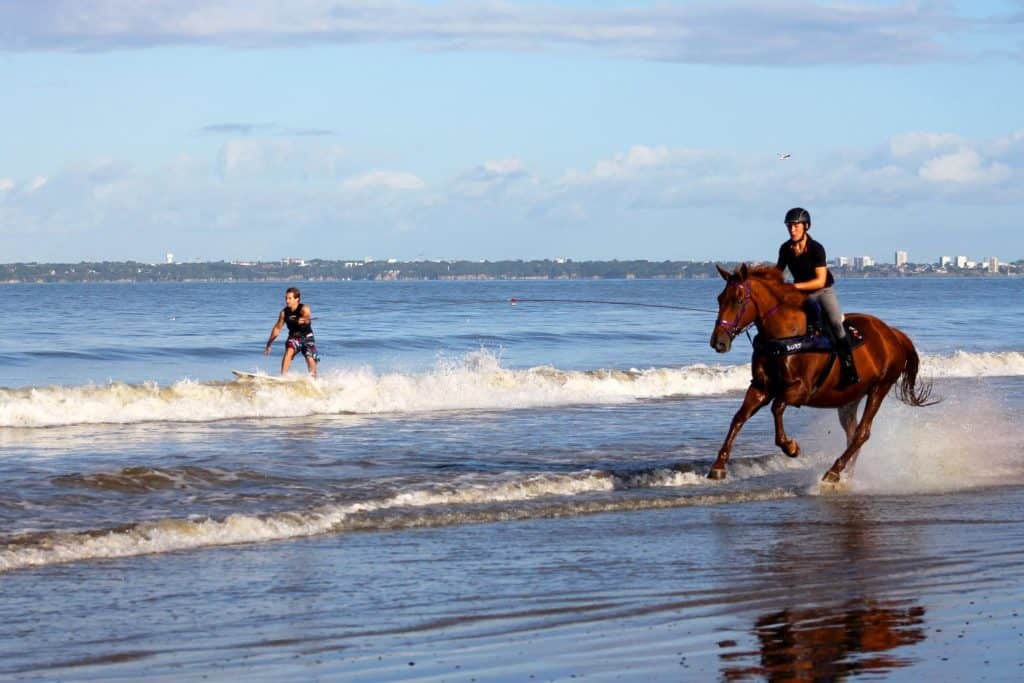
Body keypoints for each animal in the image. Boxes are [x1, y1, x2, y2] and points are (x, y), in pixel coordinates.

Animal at [704, 260, 937, 481]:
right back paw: (846, 474)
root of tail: (892, 334)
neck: (786, 335)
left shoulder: (800, 389)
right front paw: (718, 466)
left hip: (880, 388)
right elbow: (739, 417)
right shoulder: (761, 387)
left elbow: (777, 407)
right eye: (719, 298)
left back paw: (834, 472)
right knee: (852, 433)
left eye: (738, 300)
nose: (718, 342)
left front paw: (791, 447)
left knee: (862, 432)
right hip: (850, 397)